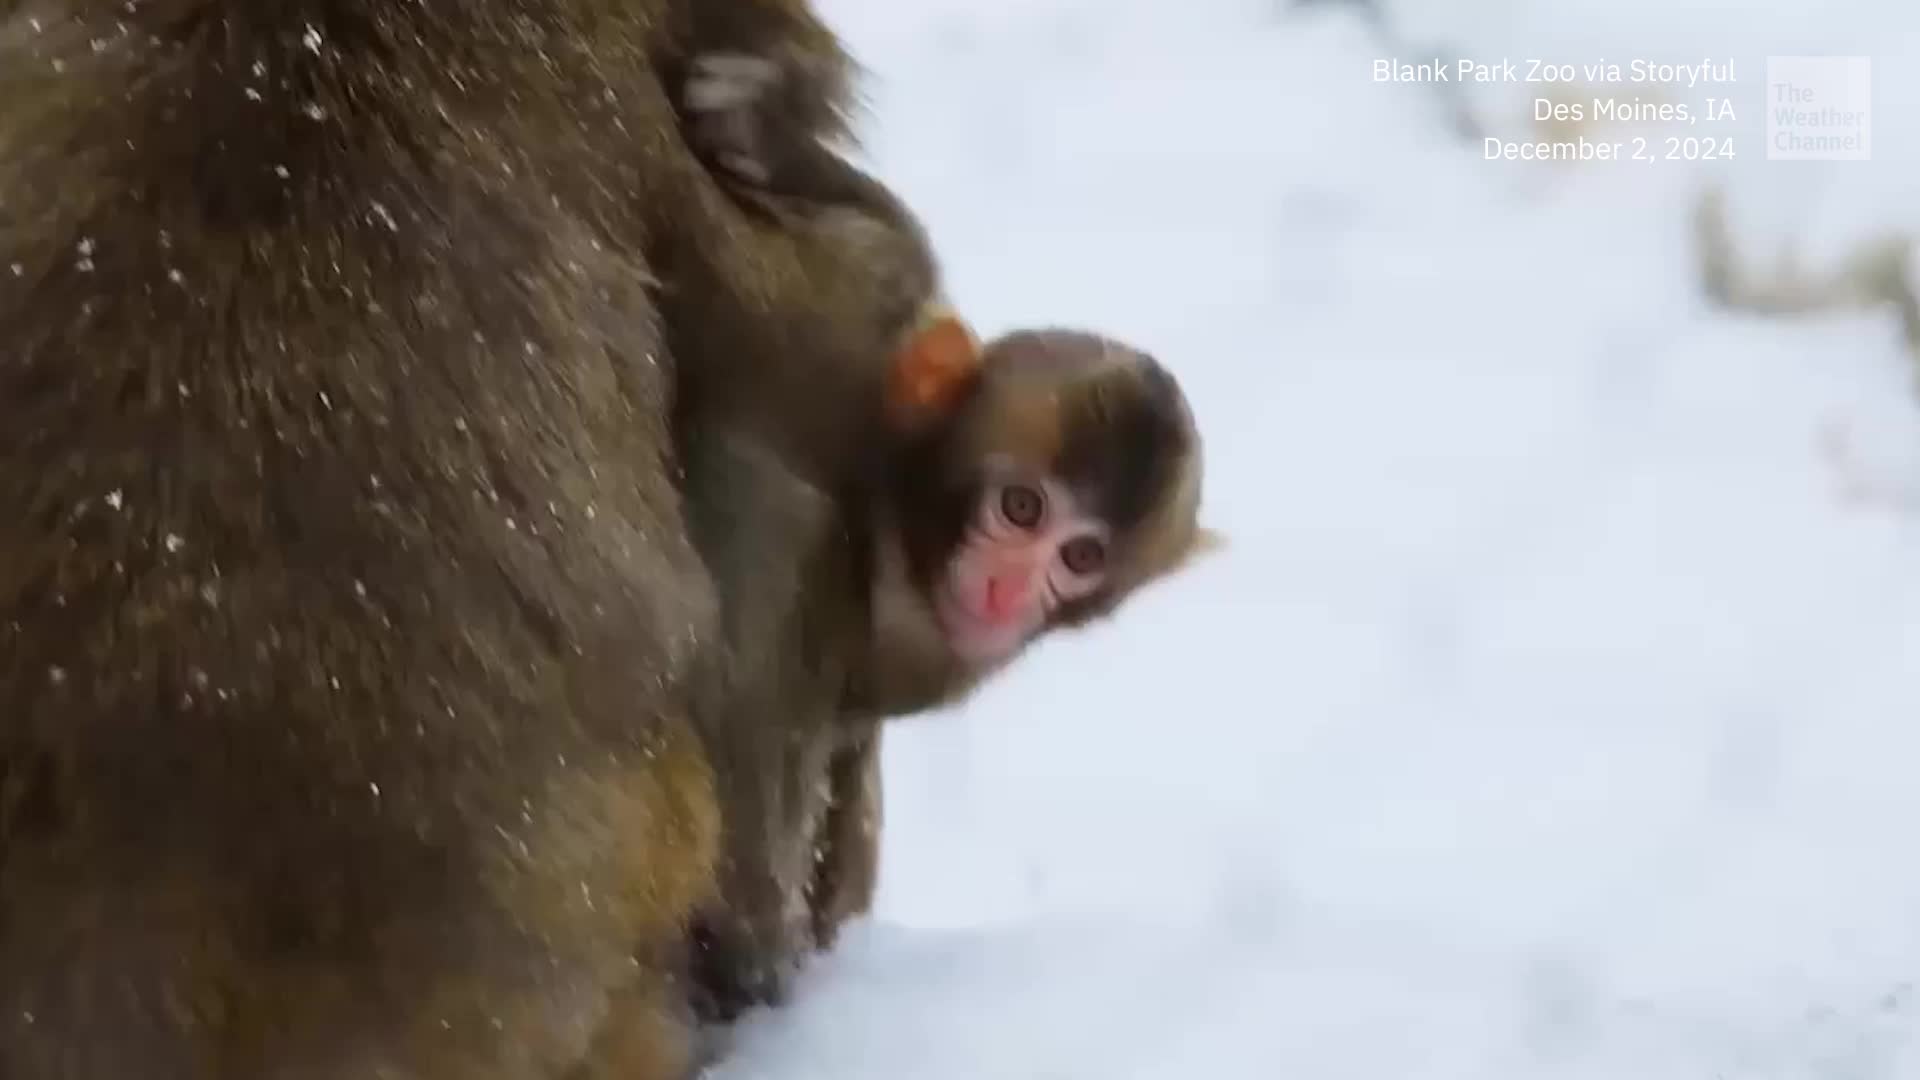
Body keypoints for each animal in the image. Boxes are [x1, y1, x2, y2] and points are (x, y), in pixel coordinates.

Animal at [671, 49, 1215, 1025]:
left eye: (1081, 558)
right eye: (1022, 509)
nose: (1005, 595)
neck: (891, 490)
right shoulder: (851, 352)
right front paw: (768, 138)